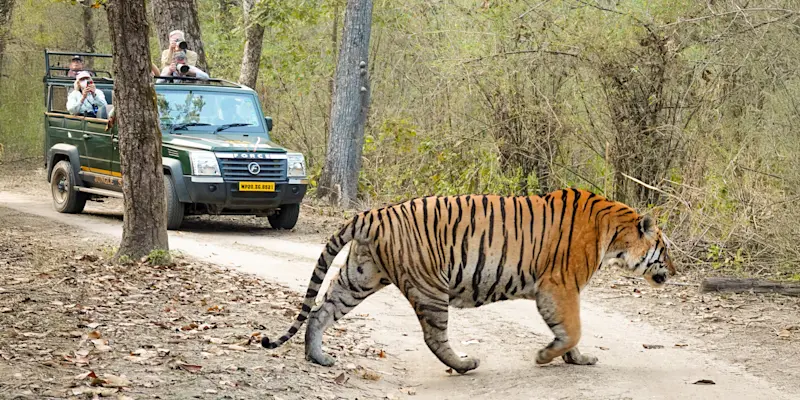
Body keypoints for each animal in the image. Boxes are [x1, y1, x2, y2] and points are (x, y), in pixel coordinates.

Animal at [262, 188, 676, 374]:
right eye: (665, 248)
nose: (675, 271)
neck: (616, 236)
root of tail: (372, 214)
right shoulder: (560, 286)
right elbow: (571, 329)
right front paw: (545, 357)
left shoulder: (560, 290)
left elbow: (571, 334)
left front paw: (578, 359)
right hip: (430, 286)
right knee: (434, 337)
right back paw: (464, 364)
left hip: (358, 277)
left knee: (320, 312)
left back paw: (318, 357)